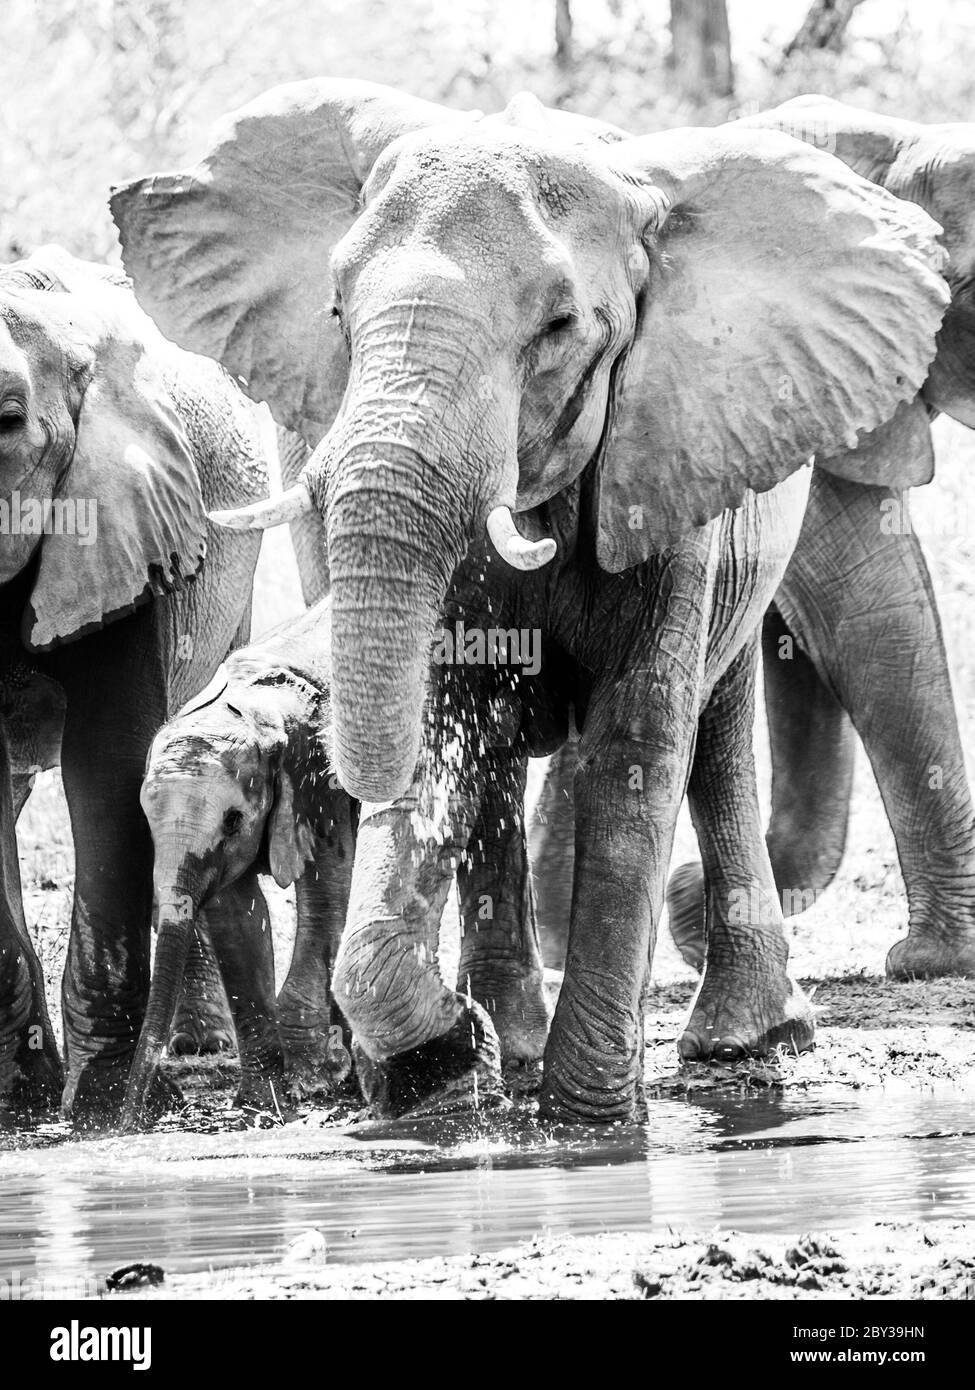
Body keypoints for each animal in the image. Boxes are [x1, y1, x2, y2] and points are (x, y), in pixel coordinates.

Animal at [0, 244, 269, 1123]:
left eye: (6, 421)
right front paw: (22, 1097)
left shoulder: (121, 514)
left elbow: (108, 760)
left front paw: (101, 1105)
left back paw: (196, 1050)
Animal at [118, 597, 353, 1128]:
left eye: (232, 820)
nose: (125, 1124)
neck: (251, 712)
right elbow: (236, 920)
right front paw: (261, 1105)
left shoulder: (317, 776)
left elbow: (327, 889)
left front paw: (316, 1081)